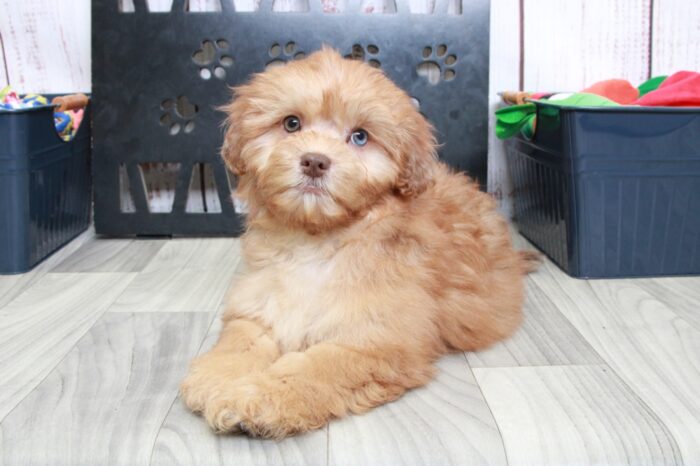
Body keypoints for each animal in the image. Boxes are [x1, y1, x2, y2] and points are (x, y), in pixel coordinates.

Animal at [180, 46, 536, 436]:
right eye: (291, 124)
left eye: (360, 137)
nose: (315, 161)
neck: (320, 240)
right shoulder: (262, 303)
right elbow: (241, 339)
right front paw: (218, 377)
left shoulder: (375, 341)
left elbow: (317, 367)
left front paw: (258, 397)